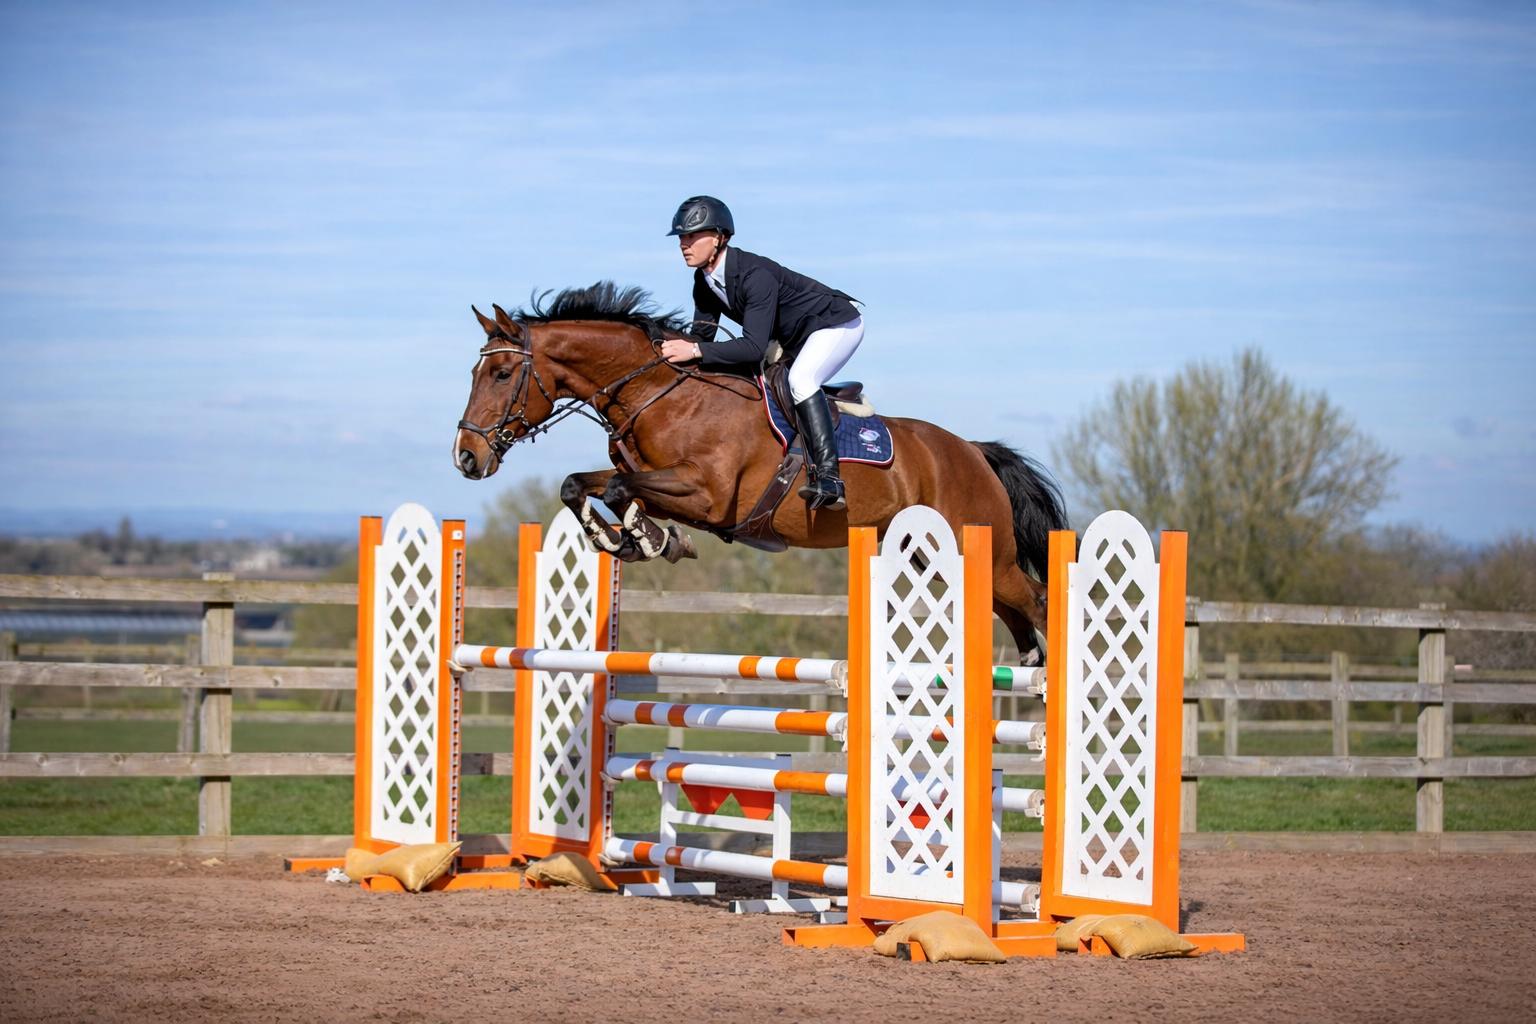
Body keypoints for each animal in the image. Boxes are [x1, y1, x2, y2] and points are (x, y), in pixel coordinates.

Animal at [453, 283, 1067, 664]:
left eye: (502, 374)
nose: (467, 456)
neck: (661, 395)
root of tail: (973, 452)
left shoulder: (707, 495)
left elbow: (626, 489)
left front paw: (650, 539)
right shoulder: (656, 481)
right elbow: (582, 485)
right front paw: (636, 538)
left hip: (985, 552)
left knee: (1037, 600)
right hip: (946, 558)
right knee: (1016, 618)